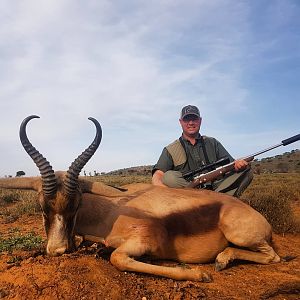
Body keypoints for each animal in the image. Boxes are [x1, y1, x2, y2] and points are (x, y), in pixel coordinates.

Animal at [0, 116, 282, 282]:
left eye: (77, 205)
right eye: (42, 207)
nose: (57, 250)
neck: (110, 213)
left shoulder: (143, 241)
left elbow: (118, 258)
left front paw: (198, 274)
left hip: (242, 235)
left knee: (274, 257)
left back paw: (220, 261)